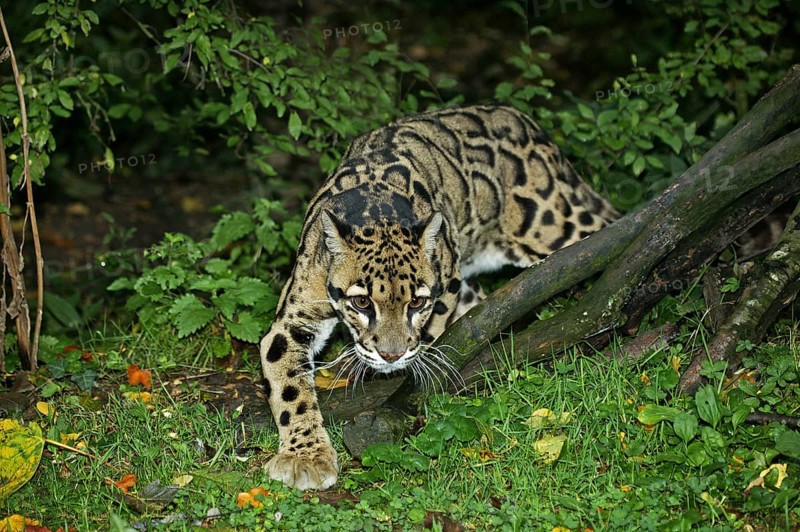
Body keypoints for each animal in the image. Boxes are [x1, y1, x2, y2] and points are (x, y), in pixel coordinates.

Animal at [259, 104, 619, 490]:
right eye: (361, 302)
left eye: (416, 302)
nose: (390, 355)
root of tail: (525, 121)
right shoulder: (295, 315)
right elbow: (290, 386)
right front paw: (306, 455)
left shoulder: (447, 286)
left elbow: (429, 337)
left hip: (552, 226)